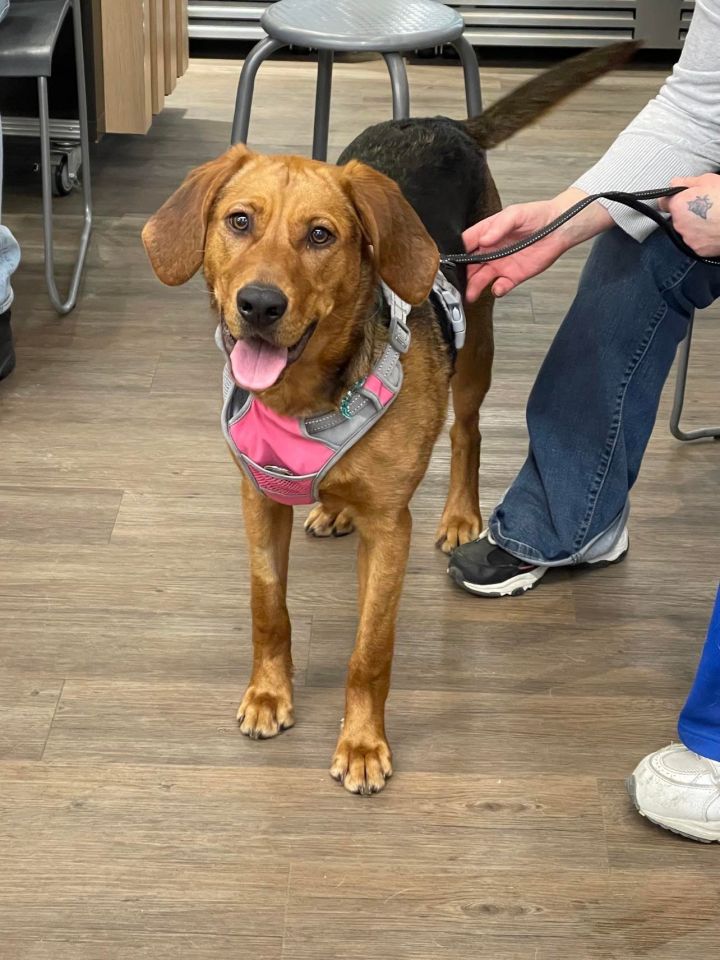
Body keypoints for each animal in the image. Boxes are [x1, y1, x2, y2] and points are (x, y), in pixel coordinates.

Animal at [143, 41, 640, 796]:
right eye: (239, 222)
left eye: (321, 235)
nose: (258, 304)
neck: (305, 400)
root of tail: (441, 121)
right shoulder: (259, 502)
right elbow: (268, 610)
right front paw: (268, 694)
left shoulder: (390, 532)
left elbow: (369, 651)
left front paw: (362, 745)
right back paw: (331, 508)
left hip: (478, 344)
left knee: (468, 431)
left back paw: (461, 514)